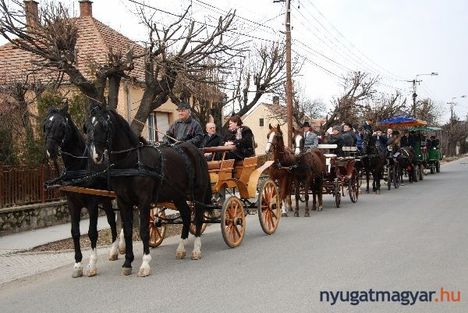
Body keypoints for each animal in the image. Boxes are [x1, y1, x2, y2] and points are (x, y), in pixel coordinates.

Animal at [43, 105, 119, 278]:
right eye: (46, 125)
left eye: (62, 125)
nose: (50, 150)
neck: (80, 166)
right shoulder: (73, 204)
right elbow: (75, 232)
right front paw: (77, 264)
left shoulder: (92, 203)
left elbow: (92, 232)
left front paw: (91, 265)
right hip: (106, 199)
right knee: (113, 220)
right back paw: (115, 250)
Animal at [86, 103, 212, 276]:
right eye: (88, 126)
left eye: (104, 125)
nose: (95, 155)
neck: (132, 161)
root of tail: (195, 150)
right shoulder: (123, 201)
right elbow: (128, 230)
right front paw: (127, 263)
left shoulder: (144, 201)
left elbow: (144, 230)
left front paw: (145, 264)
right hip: (178, 195)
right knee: (187, 215)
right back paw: (181, 248)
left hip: (198, 193)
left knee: (198, 218)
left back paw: (196, 250)